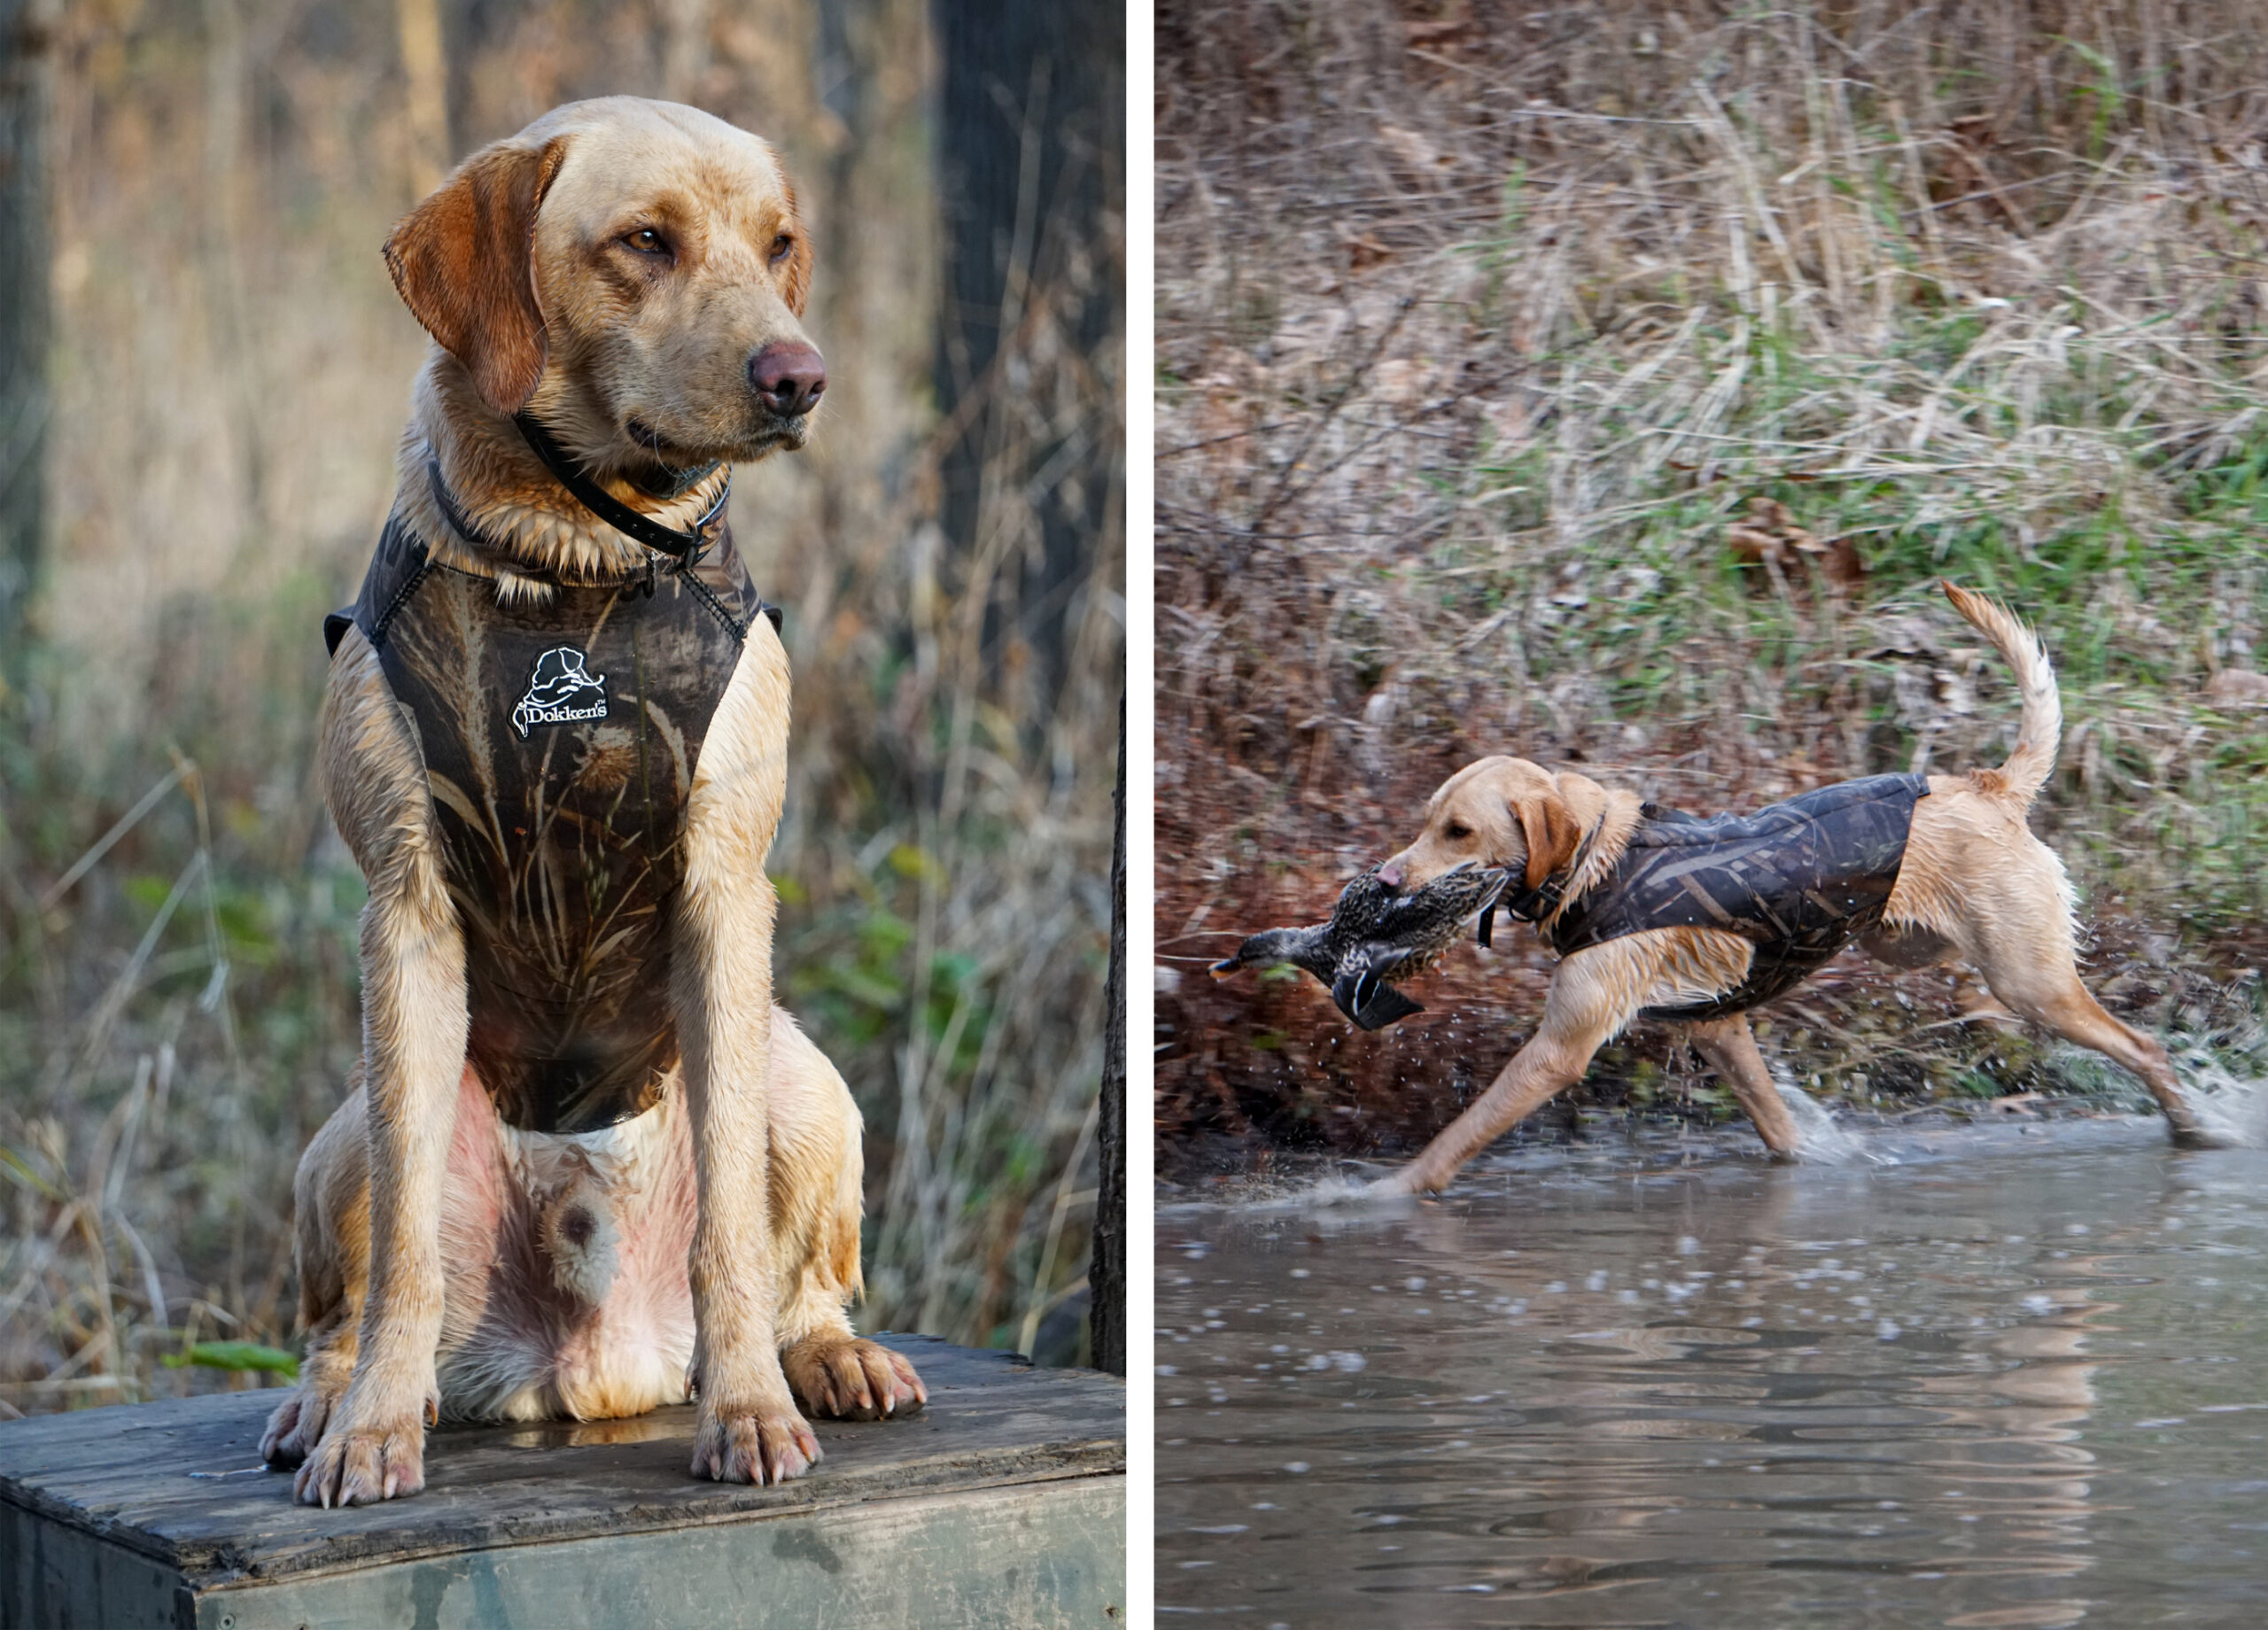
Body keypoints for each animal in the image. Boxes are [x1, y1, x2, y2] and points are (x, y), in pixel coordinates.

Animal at [250, 96, 920, 1514]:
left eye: (779, 244)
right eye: (645, 241)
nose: (801, 377)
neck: (575, 568)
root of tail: (595, 1362)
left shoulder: (724, 894)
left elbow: (732, 1237)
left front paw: (752, 1414)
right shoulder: (403, 909)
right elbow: (401, 1255)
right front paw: (372, 1431)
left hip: (808, 1083)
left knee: (798, 1277)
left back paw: (827, 1359)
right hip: (345, 1131)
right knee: (348, 1299)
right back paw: (333, 1398)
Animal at [1351, 580, 2204, 1187]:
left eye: (1458, 832)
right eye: (1427, 822)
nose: (1385, 883)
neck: (1602, 858)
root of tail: (1989, 785)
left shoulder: (1558, 1051)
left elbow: (1455, 1140)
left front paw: (1378, 1198)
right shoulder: (1719, 1027)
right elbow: (1778, 1126)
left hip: (2031, 982)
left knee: (2144, 1047)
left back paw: (2195, 1128)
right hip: (1920, 950)